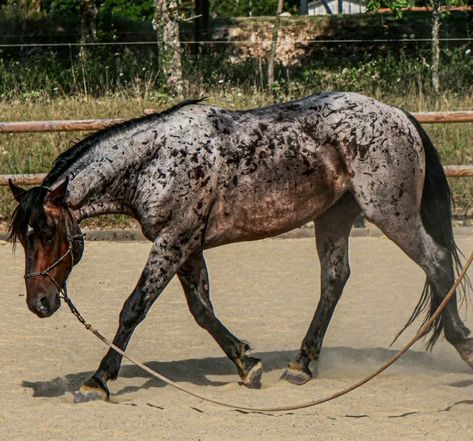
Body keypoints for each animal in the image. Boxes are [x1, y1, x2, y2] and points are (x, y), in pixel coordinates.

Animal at [8, 93, 472, 402]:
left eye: (47, 233)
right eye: (23, 237)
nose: (39, 302)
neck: (154, 161)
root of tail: (399, 116)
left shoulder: (172, 240)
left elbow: (134, 308)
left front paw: (98, 379)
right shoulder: (186, 246)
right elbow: (202, 311)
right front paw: (247, 363)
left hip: (390, 213)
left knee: (437, 263)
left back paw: (463, 344)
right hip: (335, 217)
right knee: (335, 279)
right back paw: (301, 364)